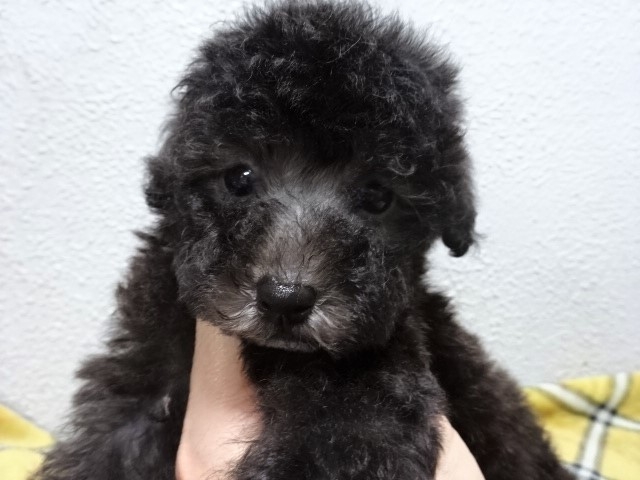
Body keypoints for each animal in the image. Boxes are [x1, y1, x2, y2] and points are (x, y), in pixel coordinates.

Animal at [35, 1, 574, 479]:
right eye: (239, 178)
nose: (285, 299)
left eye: (378, 197)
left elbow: (339, 442)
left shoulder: (368, 395)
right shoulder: (145, 368)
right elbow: (114, 440)